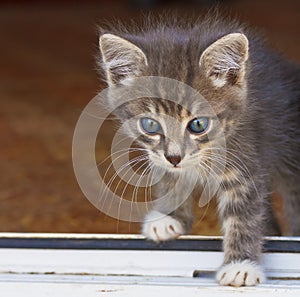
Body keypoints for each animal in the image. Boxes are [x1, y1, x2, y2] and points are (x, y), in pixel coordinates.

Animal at [97, 12, 298, 286]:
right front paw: (169, 216)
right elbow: (170, 177)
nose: (174, 157)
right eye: (150, 124)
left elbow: (243, 215)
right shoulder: (161, 157)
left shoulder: (246, 161)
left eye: (198, 124)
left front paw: (240, 265)